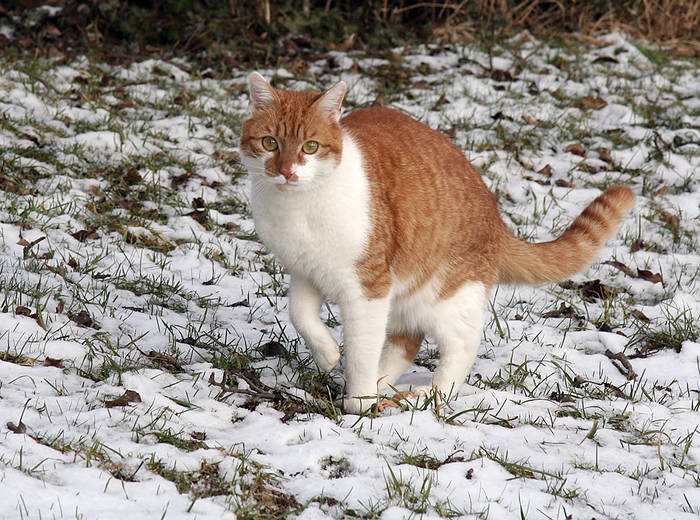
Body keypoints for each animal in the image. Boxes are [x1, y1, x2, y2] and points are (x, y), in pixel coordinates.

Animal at [239, 72, 636, 414]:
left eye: (310, 147)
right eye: (270, 142)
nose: (287, 171)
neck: (298, 209)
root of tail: (497, 218)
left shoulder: (368, 287)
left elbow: (362, 348)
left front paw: (360, 402)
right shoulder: (306, 270)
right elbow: (301, 314)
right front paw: (328, 356)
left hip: (446, 293)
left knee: (462, 344)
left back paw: (431, 394)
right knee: (407, 340)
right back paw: (385, 384)